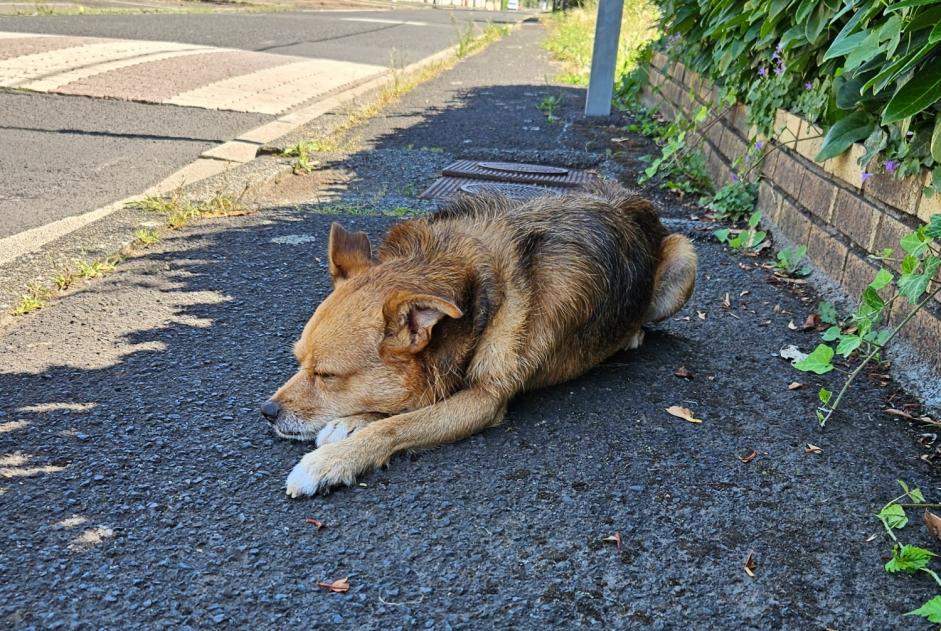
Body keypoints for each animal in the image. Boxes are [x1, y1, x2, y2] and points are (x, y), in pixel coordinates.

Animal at [260, 183, 692, 498]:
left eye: (327, 376)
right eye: (299, 362)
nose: (267, 412)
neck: (473, 293)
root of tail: (636, 201)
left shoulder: (484, 400)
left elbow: (395, 426)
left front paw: (329, 461)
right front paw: (349, 422)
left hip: (686, 256)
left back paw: (633, 333)